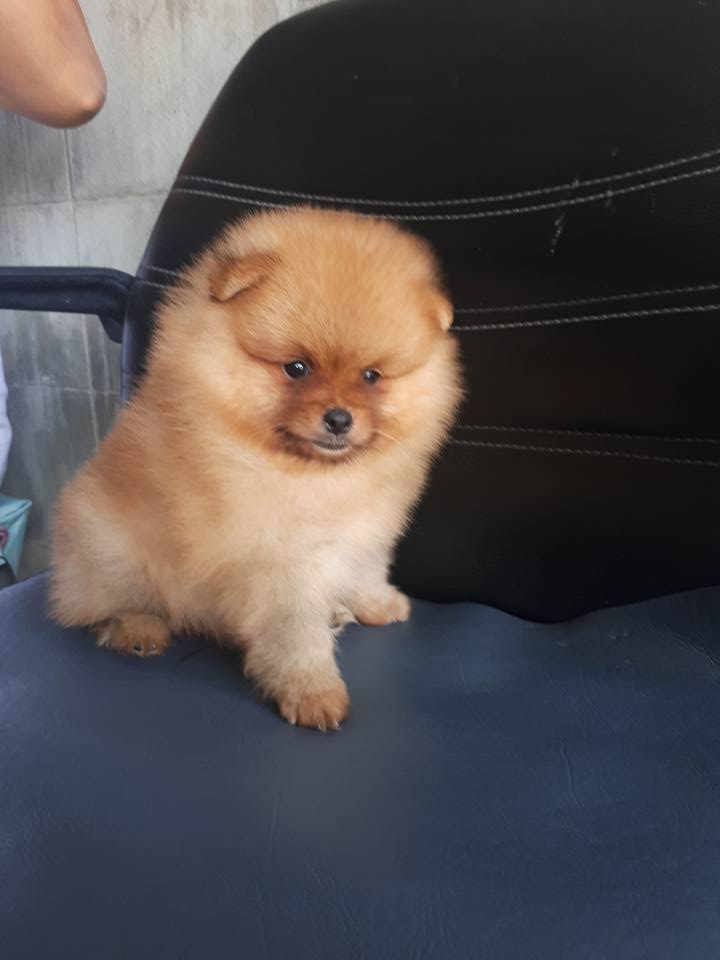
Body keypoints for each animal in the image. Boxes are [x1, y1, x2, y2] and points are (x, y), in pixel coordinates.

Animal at [50, 208, 462, 730]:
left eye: (371, 376)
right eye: (297, 368)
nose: (339, 419)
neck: (316, 476)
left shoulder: (365, 529)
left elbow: (365, 569)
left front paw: (377, 603)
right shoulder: (274, 561)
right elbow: (294, 632)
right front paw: (313, 691)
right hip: (113, 549)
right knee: (96, 606)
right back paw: (137, 628)